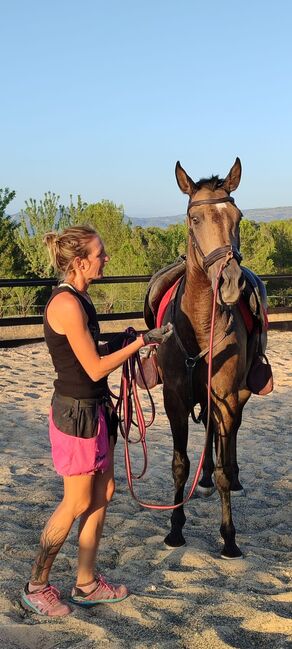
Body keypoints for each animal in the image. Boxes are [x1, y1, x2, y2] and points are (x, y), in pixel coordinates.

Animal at [156, 157, 266, 556]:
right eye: (195, 219)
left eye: (238, 216)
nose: (231, 282)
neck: (202, 324)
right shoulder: (174, 398)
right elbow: (180, 463)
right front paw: (175, 528)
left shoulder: (227, 397)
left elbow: (222, 461)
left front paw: (229, 537)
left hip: (238, 395)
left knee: (228, 440)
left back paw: (233, 478)